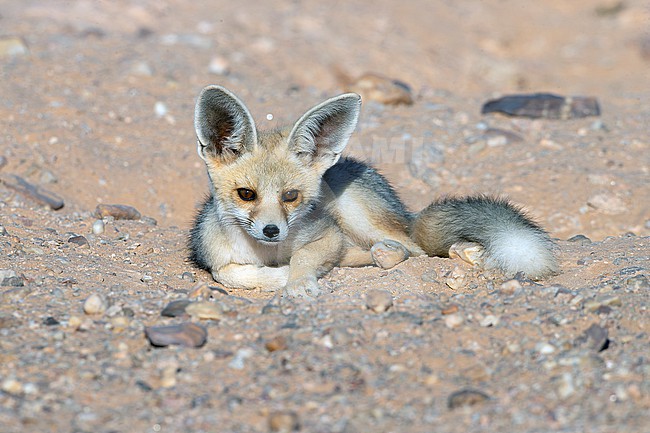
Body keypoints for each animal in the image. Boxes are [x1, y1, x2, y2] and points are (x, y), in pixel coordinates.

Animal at [189, 85, 558, 298]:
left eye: (290, 196)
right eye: (246, 194)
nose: (271, 230)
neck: (269, 254)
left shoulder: (328, 234)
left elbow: (303, 257)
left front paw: (297, 281)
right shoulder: (211, 255)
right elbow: (229, 275)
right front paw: (280, 278)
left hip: (352, 211)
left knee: (415, 248)